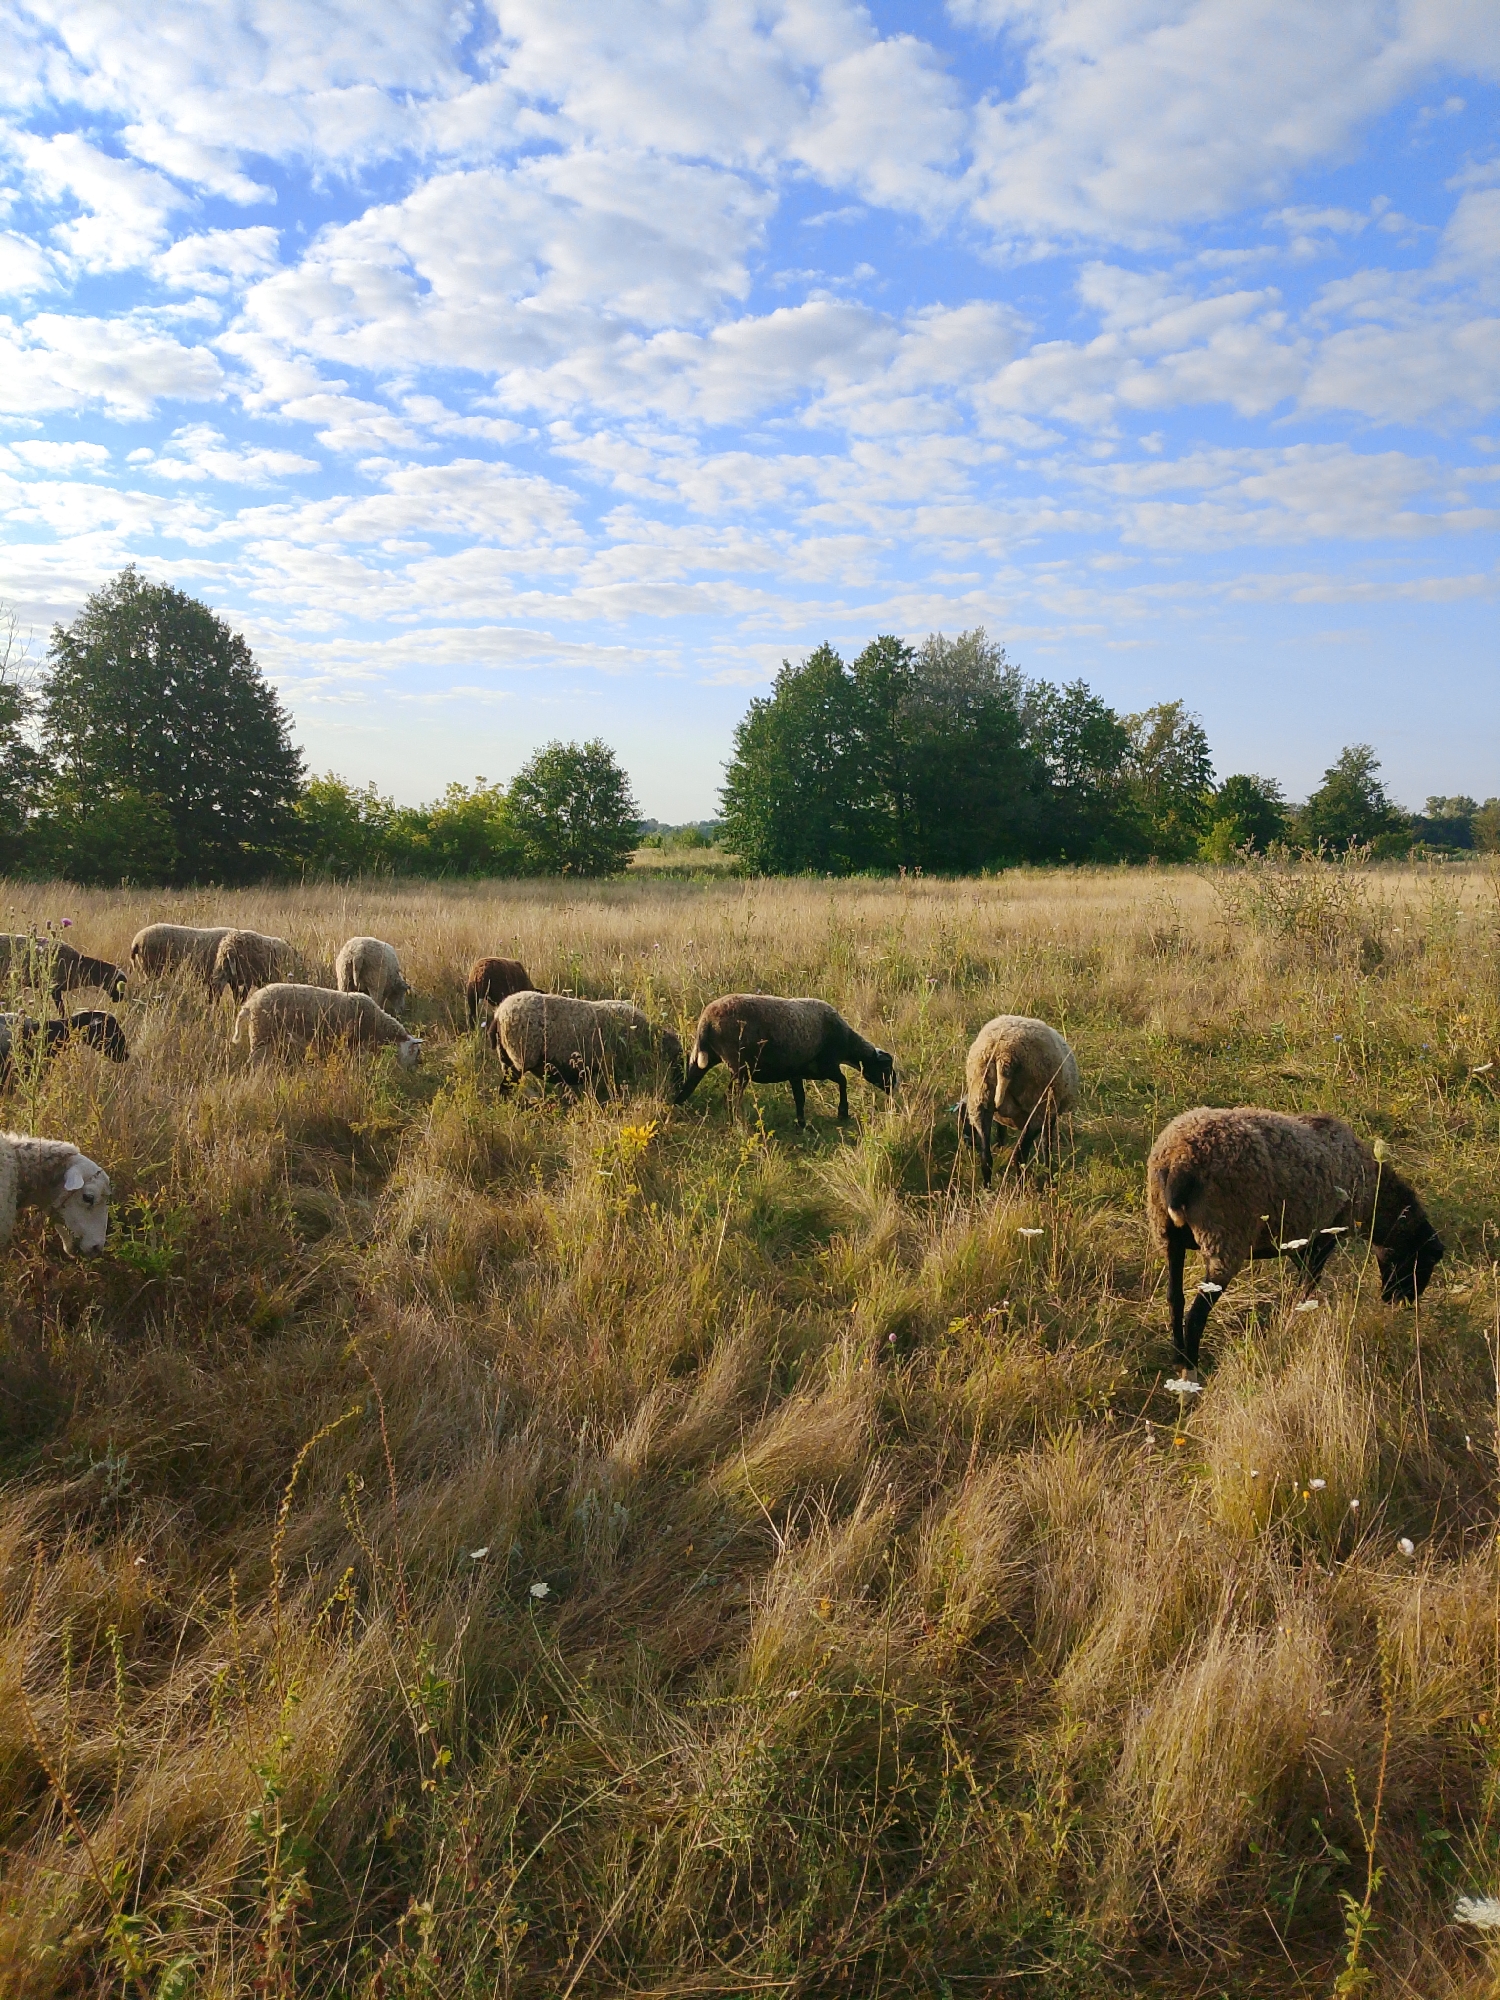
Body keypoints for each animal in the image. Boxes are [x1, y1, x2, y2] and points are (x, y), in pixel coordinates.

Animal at [233, 983, 423, 1068]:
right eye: (414, 1052)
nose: (411, 1070)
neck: (376, 1024)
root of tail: (250, 1003)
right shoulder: (351, 1042)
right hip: (261, 1032)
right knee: (253, 1061)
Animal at [675, 995, 895, 1127]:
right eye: (886, 1067)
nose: (895, 1088)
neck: (847, 1043)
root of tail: (706, 1021)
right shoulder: (827, 1066)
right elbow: (843, 1081)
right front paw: (843, 1113)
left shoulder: (795, 1072)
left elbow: (800, 1097)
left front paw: (802, 1123)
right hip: (740, 1067)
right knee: (730, 1096)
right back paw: (738, 1124)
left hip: (704, 1060)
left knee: (694, 1087)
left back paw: (677, 1106)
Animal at [957, 1016, 1080, 1186]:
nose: (967, 1144)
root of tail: (1004, 1055)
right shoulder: (1050, 1112)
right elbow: (1046, 1144)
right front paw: (1049, 1176)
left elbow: (1001, 1132)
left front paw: (1000, 1148)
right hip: (1037, 1105)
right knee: (1019, 1156)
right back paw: (1022, 1187)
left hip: (980, 1100)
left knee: (986, 1158)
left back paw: (987, 1189)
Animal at [1146, 1106, 1445, 1372]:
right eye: (1423, 1261)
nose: (1400, 1302)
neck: (1372, 1195)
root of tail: (1178, 1162)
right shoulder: (1325, 1233)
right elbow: (1310, 1281)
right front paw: (1297, 1318)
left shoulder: (1298, 1239)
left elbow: (1304, 1278)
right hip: (1225, 1239)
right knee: (1196, 1315)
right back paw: (1190, 1370)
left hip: (1167, 1233)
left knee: (1175, 1299)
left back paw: (1177, 1359)